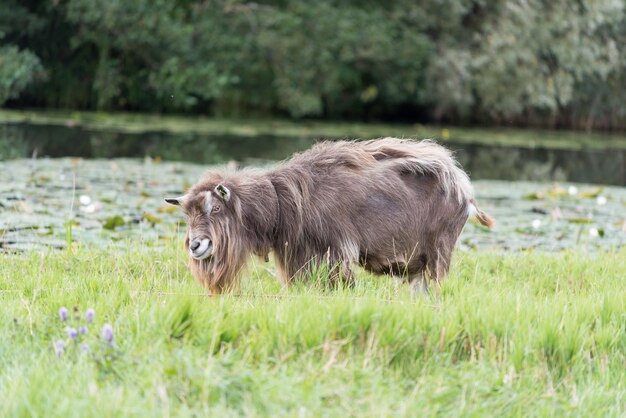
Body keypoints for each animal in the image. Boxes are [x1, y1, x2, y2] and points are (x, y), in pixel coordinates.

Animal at [165, 138, 492, 294]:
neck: (285, 202)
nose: (196, 245)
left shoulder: (336, 251)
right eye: (188, 215)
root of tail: (465, 190)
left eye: (216, 208)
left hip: (439, 251)